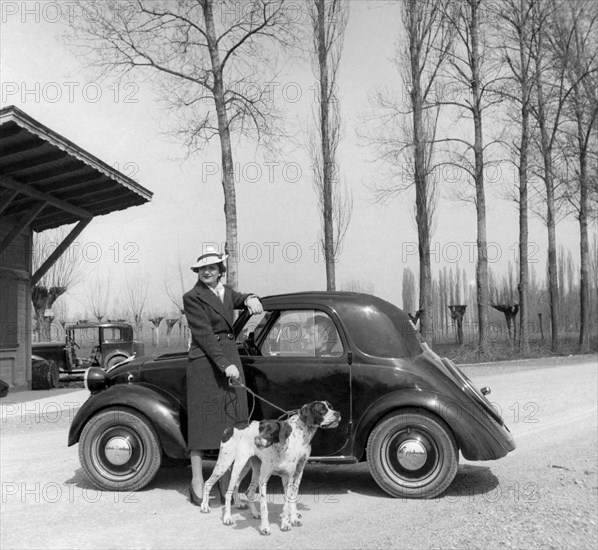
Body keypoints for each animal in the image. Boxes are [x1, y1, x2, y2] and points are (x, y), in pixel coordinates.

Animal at [203, 404, 340, 536]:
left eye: (330, 407)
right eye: (322, 409)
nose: (338, 413)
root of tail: (230, 427)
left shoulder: (295, 474)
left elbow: (290, 501)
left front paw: (289, 520)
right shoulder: (265, 480)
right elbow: (265, 507)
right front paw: (266, 528)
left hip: (251, 469)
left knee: (246, 490)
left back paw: (247, 508)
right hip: (228, 464)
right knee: (215, 487)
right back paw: (216, 512)